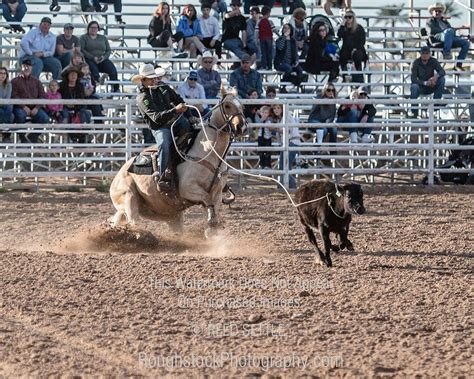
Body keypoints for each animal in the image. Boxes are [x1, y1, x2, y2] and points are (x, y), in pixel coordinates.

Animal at [109, 89, 246, 238]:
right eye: (227, 106)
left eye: (242, 106)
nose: (241, 127)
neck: (209, 150)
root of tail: (117, 177)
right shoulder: (188, 188)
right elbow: (206, 199)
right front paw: (211, 224)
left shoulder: (217, 192)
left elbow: (212, 207)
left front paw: (212, 229)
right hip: (129, 197)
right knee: (133, 223)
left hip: (169, 214)